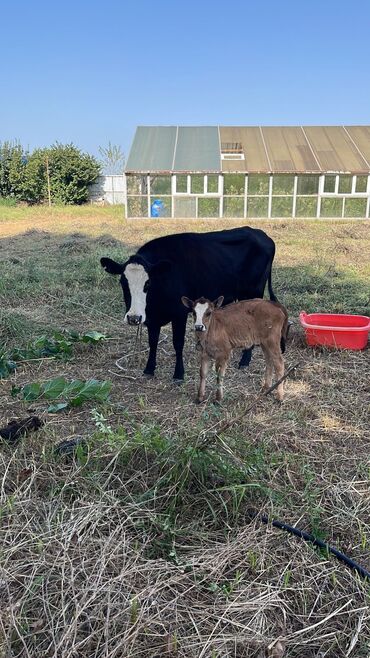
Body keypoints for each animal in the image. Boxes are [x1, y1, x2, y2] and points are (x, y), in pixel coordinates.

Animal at [101, 227, 278, 376]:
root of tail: (260, 233)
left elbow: (178, 343)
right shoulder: (152, 318)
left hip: (253, 291)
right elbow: (153, 342)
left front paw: (179, 374)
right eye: (123, 282)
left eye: (148, 283)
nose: (134, 318)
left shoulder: (179, 313)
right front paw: (149, 369)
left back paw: (245, 361)